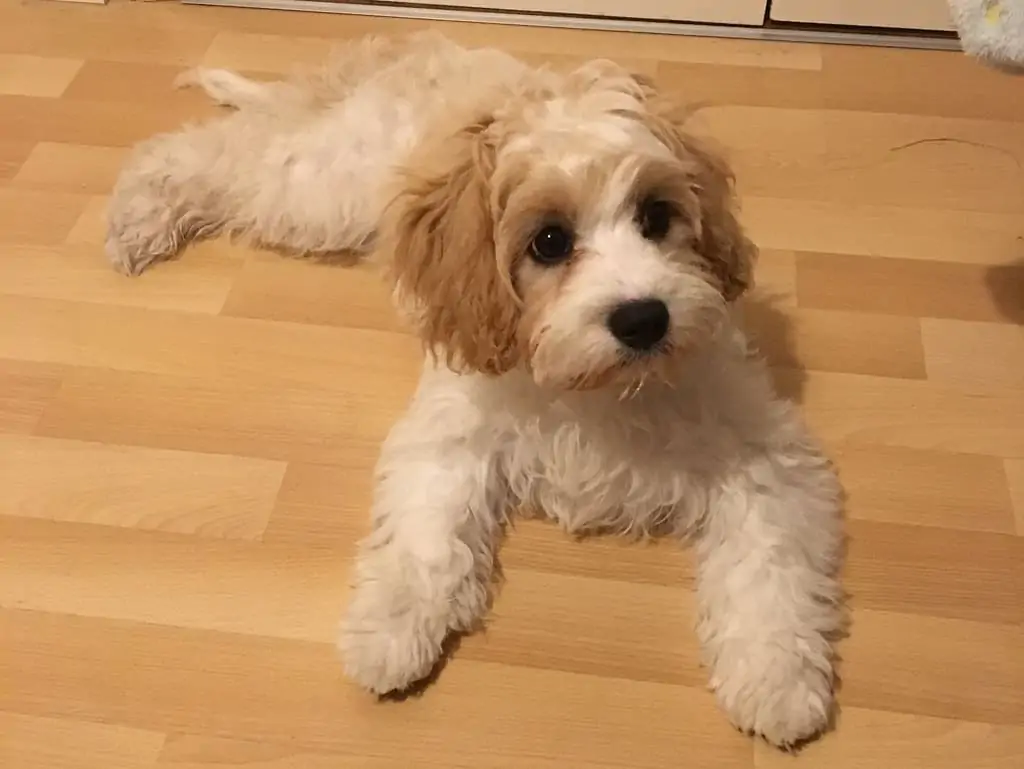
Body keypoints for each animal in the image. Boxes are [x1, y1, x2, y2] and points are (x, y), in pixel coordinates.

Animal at [108, 33, 847, 749]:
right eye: (549, 241)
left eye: (658, 215)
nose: (644, 318)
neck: (597, 387)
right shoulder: (451, 429)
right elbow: (427, 535)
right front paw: (389, 630)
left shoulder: (760, 451)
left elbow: (770, 565)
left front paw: (777, 681)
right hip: (324, 188)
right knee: (216, 151)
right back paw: (138, 215)